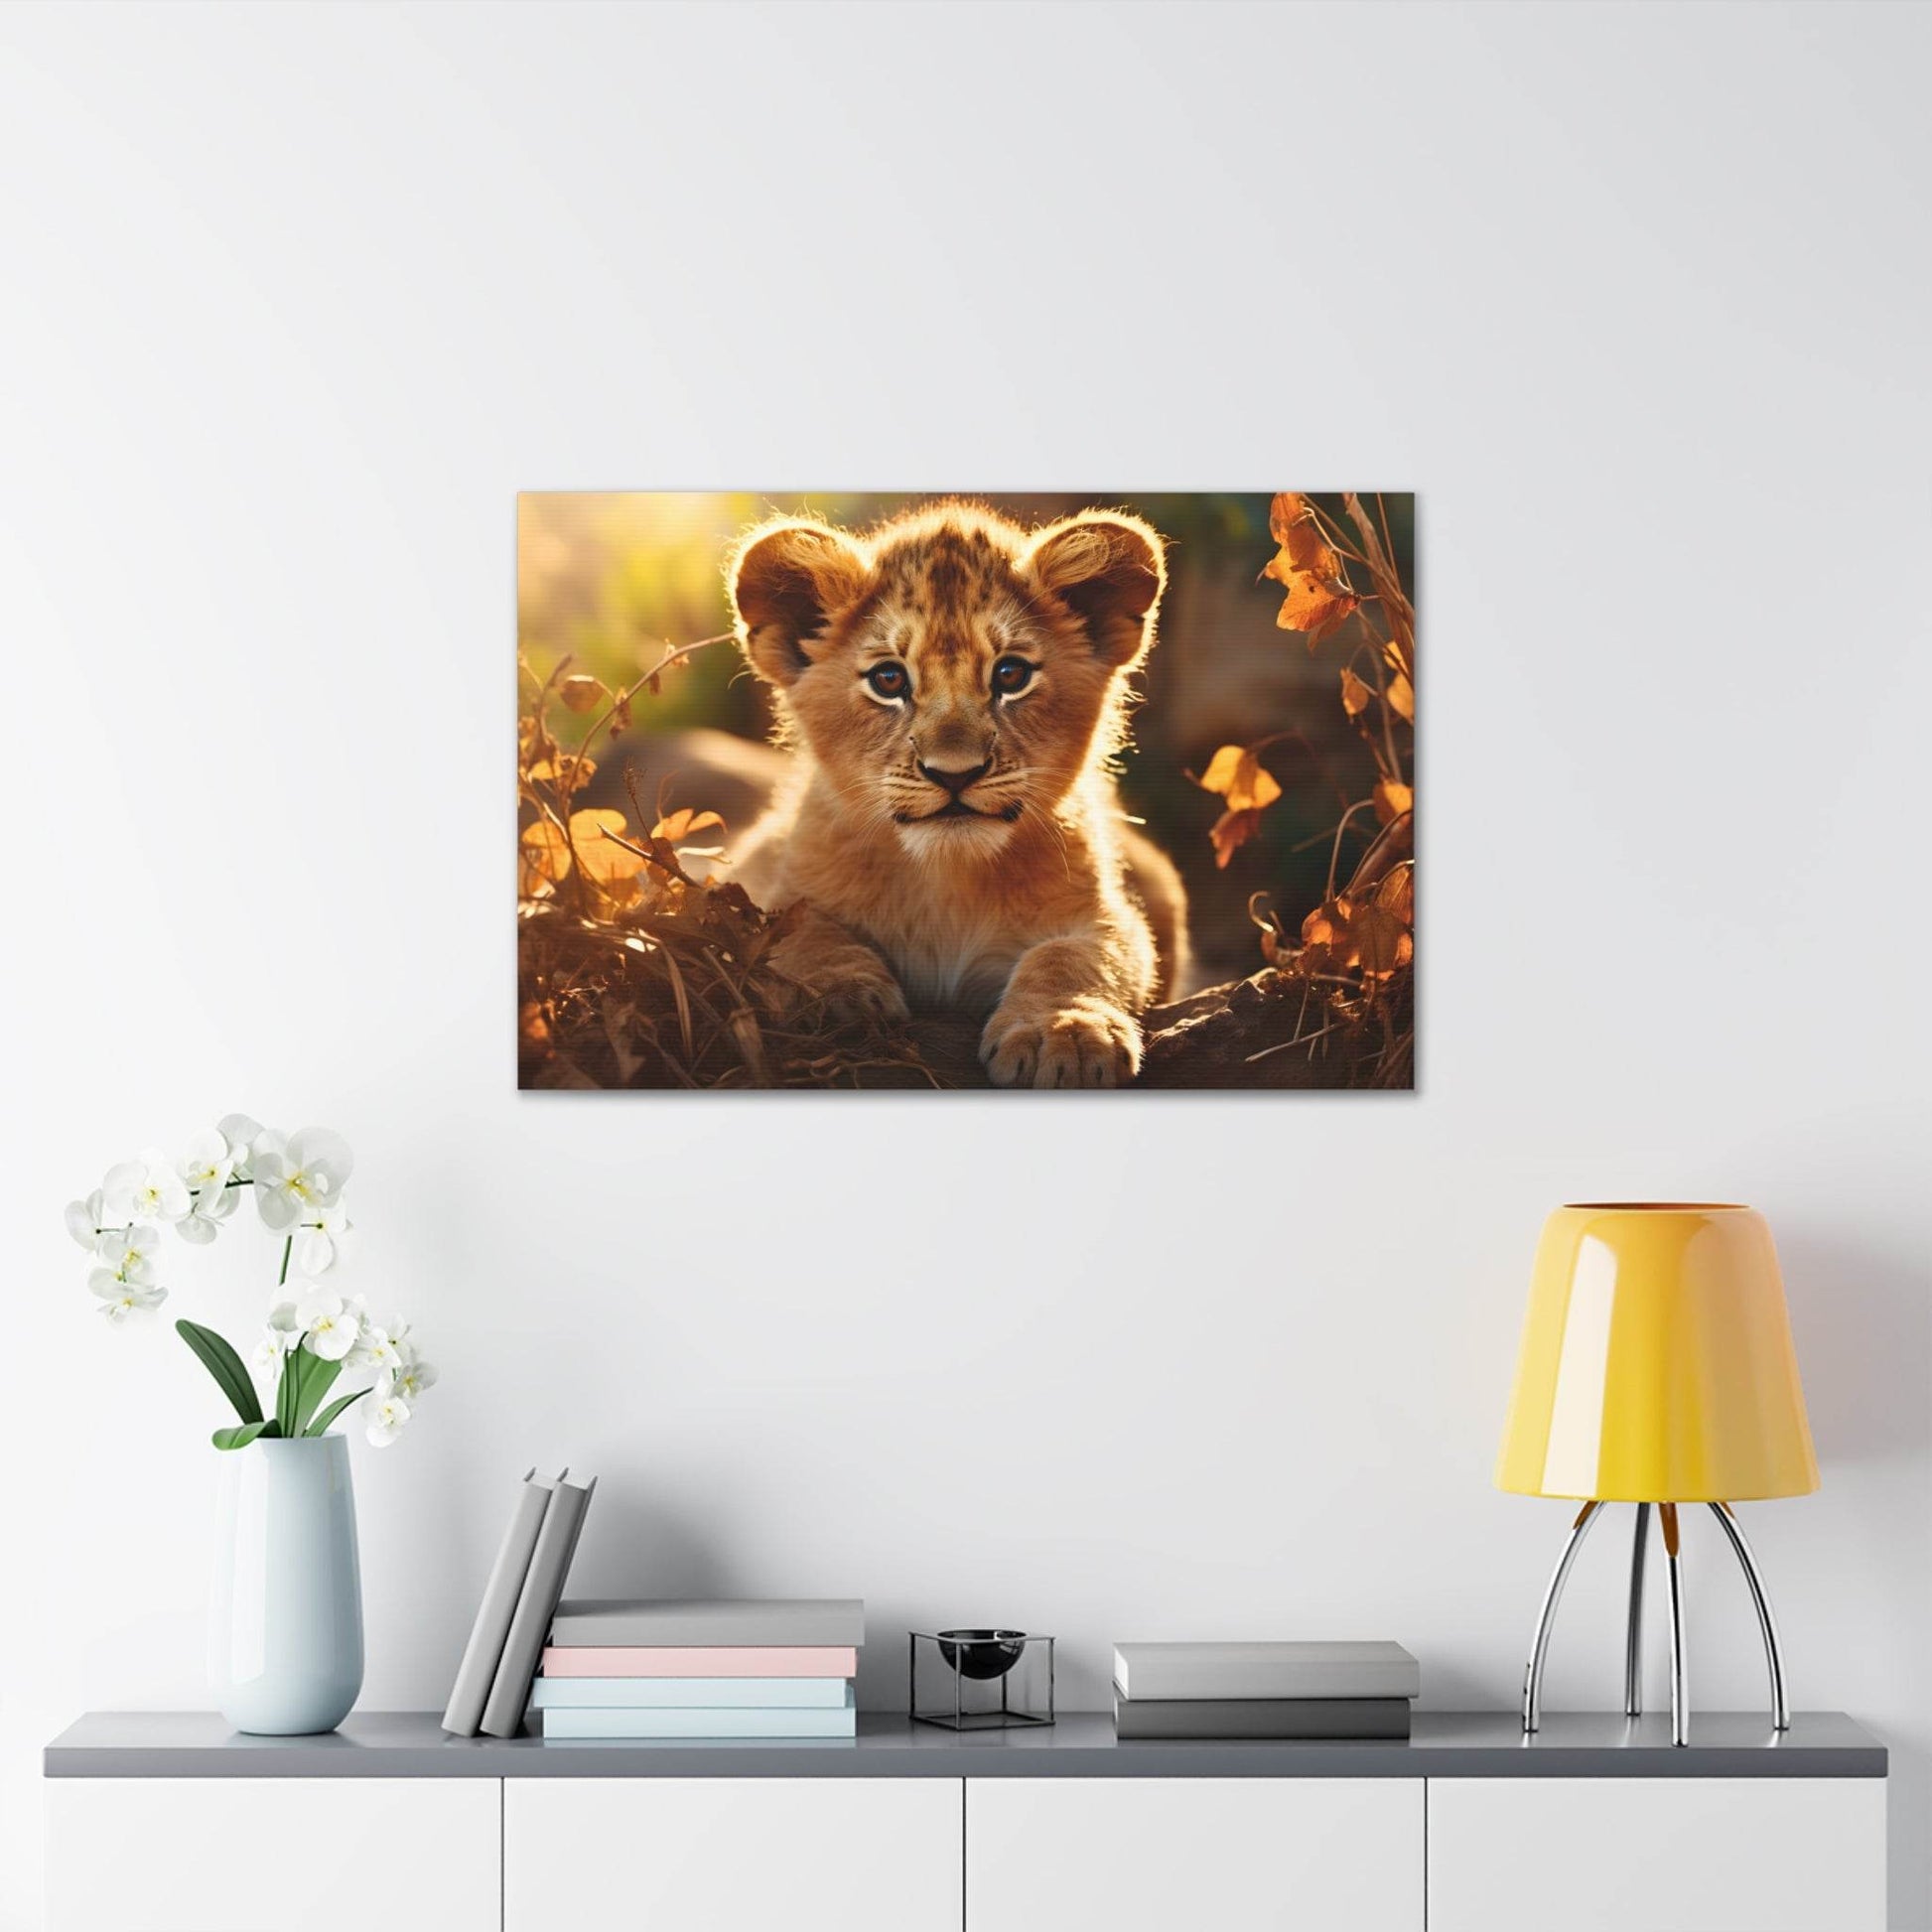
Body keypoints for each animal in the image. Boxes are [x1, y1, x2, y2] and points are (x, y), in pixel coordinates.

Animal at [726, 500, 1189, 1089]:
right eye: (888, 679)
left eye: (1011, 674)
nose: (954, 774)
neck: (946, 879)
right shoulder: (764, 879)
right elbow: (799, 929)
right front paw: (835, 995)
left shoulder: (1106, 913)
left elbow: (1076, 955)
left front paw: (1064, 1031)